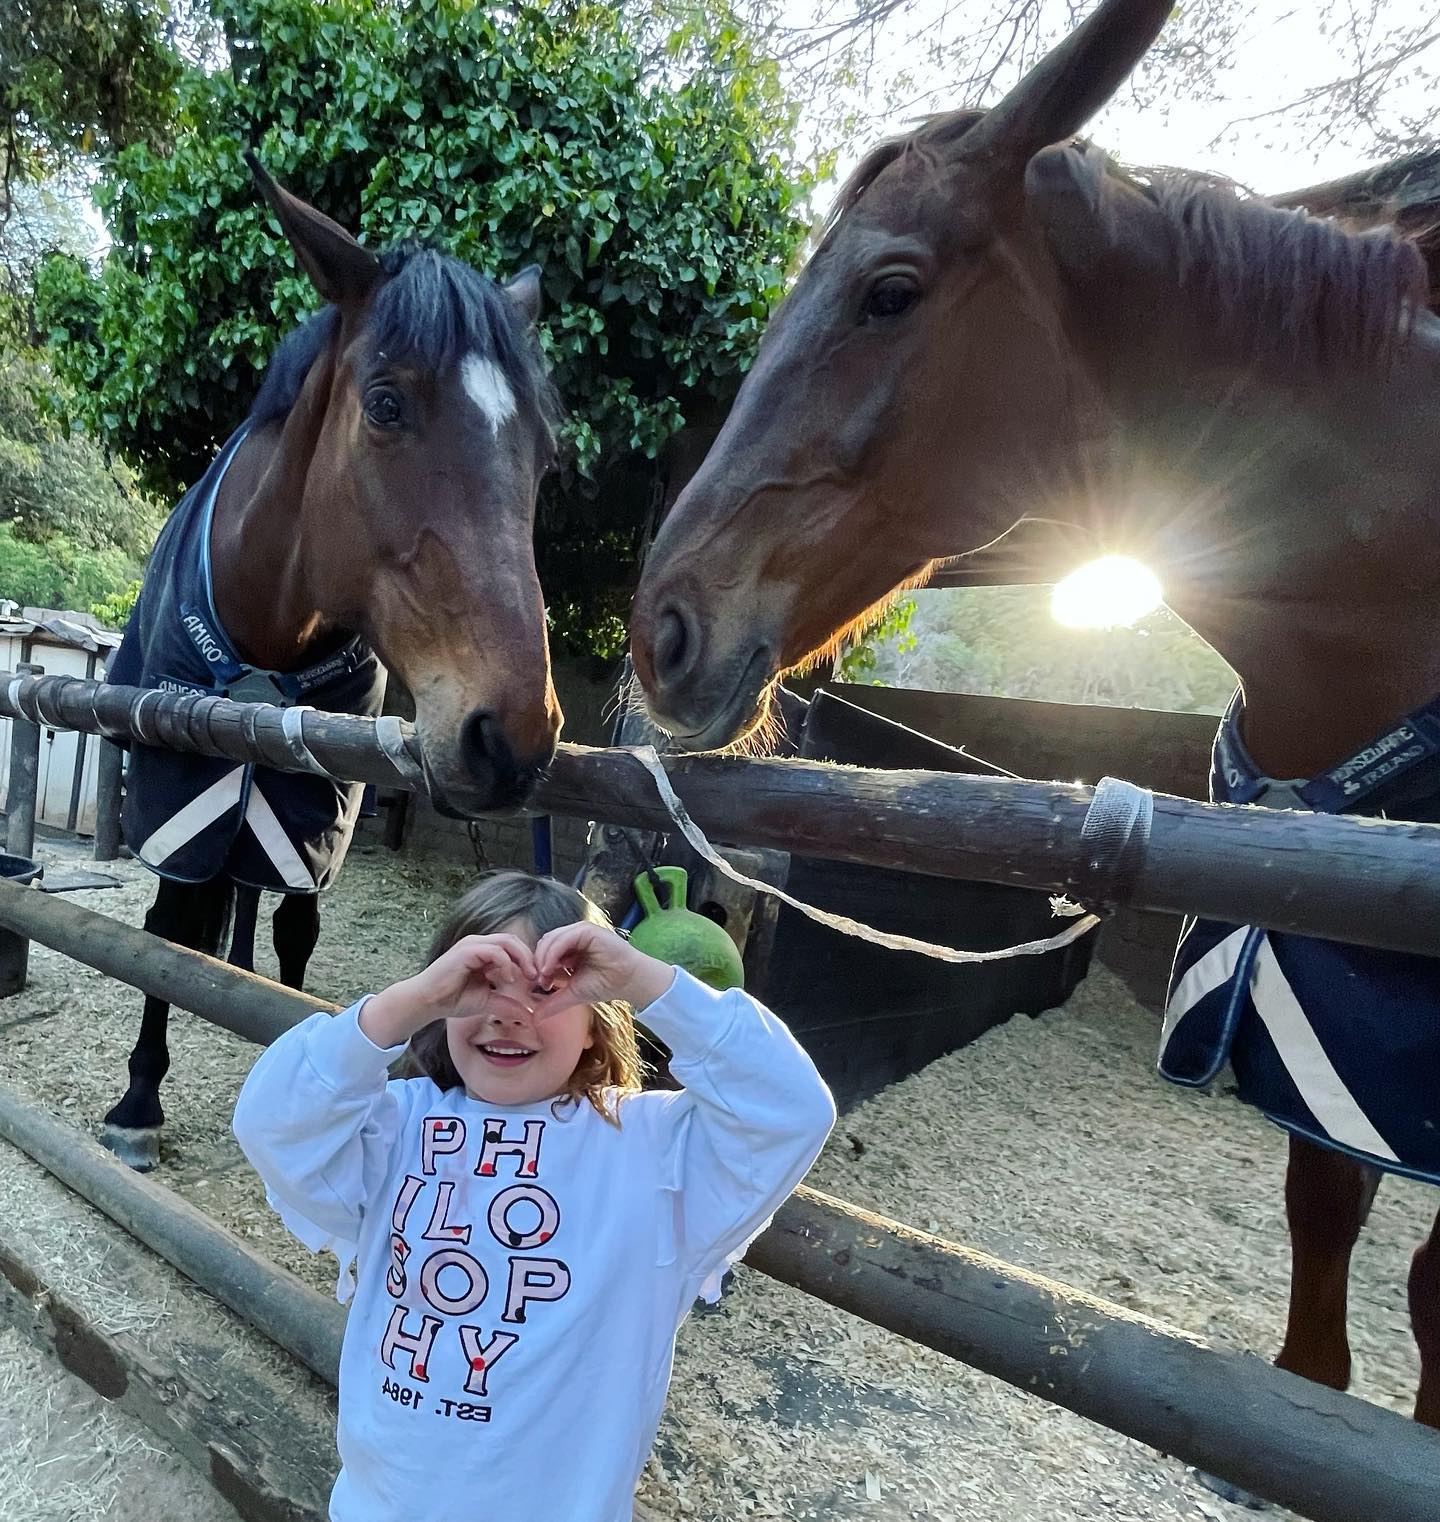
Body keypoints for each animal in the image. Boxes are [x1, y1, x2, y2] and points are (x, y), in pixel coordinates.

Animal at [99, 157, 560, 1162]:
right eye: (385, 403)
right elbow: (164, 929)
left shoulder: (320, 798)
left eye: (544, 452)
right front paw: (139, 1098)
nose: (512, 738)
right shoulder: (176, 789)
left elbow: (299, 924)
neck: (268, 607)